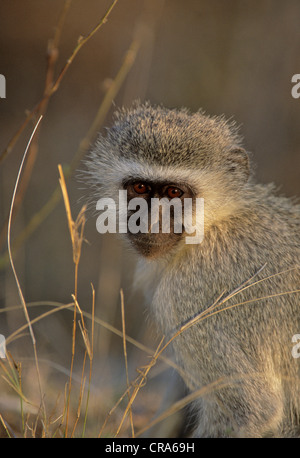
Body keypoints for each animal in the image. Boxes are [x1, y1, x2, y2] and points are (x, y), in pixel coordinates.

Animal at [83, 101, 300, 436]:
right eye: (140, 187)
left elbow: (255, 410)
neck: (213, 224)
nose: (149, 222)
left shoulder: (190, 288)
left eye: (174, 193)